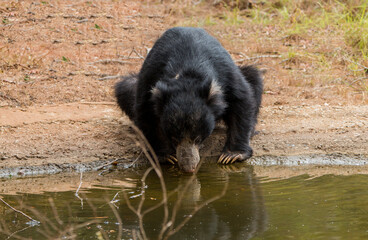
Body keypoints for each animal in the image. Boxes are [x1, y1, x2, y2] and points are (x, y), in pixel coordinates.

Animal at [115, 26, 262, 172]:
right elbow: (147, 112)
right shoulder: (150, 76)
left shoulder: (225, 73)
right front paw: (166, 156)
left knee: (252, 77)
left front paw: (231, 155)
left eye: (197, 138)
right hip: (130, 86)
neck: (187, 69)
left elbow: (241, 99)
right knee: (126, 88)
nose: (189, 168)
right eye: (174, 139)